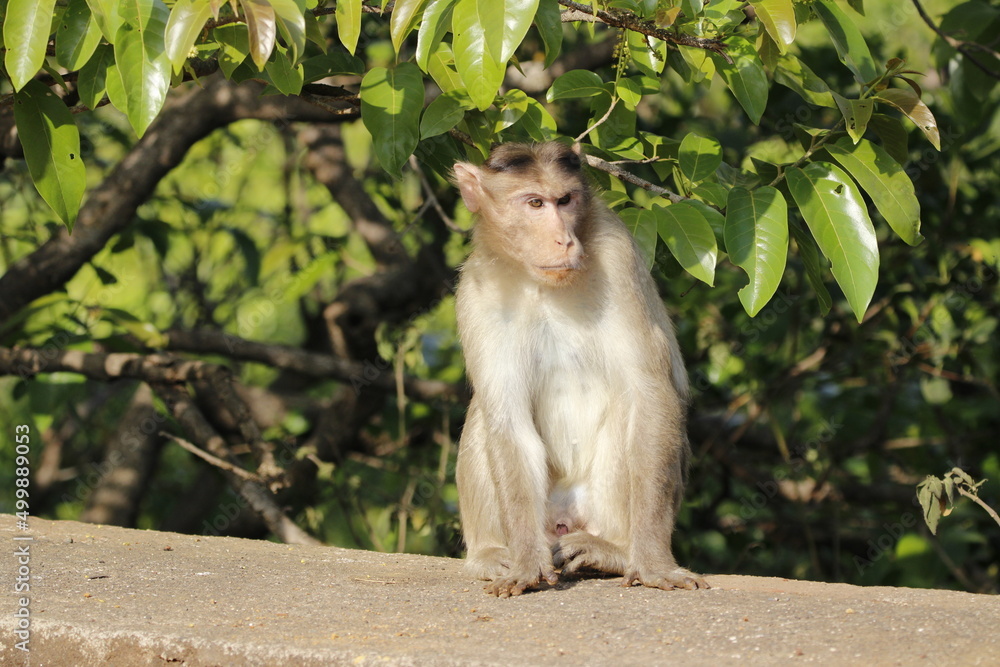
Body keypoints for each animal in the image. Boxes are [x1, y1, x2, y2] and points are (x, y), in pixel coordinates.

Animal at [452, 141, 707, 598]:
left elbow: (647, 391)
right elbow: (506, 415)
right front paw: (525, 564)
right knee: (484, 413)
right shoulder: (475, 291)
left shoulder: (618, 255)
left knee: (631, 408)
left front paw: (654, 565)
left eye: (566, 200)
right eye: (535, 203)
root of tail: (564, 518)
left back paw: (615, 551)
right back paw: (490, 554)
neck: (541, 283)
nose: (565, 239)